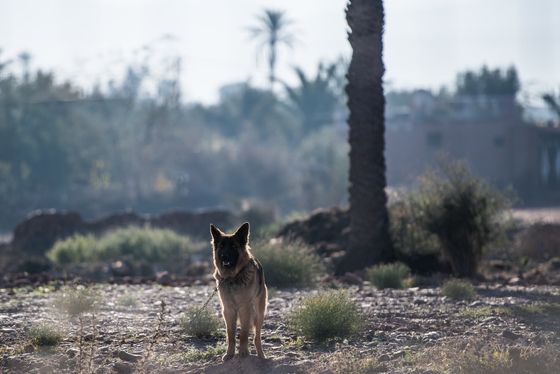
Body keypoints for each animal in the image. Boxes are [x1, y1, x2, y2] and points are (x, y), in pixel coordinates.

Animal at [212, 222, 270, 360]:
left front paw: (243, 352)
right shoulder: (228, 310)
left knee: (257, 336)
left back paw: (261, 354)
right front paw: (229, 353)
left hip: (259, 314)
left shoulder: (245, 308)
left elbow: (244, 333)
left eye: (233, 246)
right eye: (221, 246)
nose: (224, 256)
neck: (233, 277)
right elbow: (230, 335)